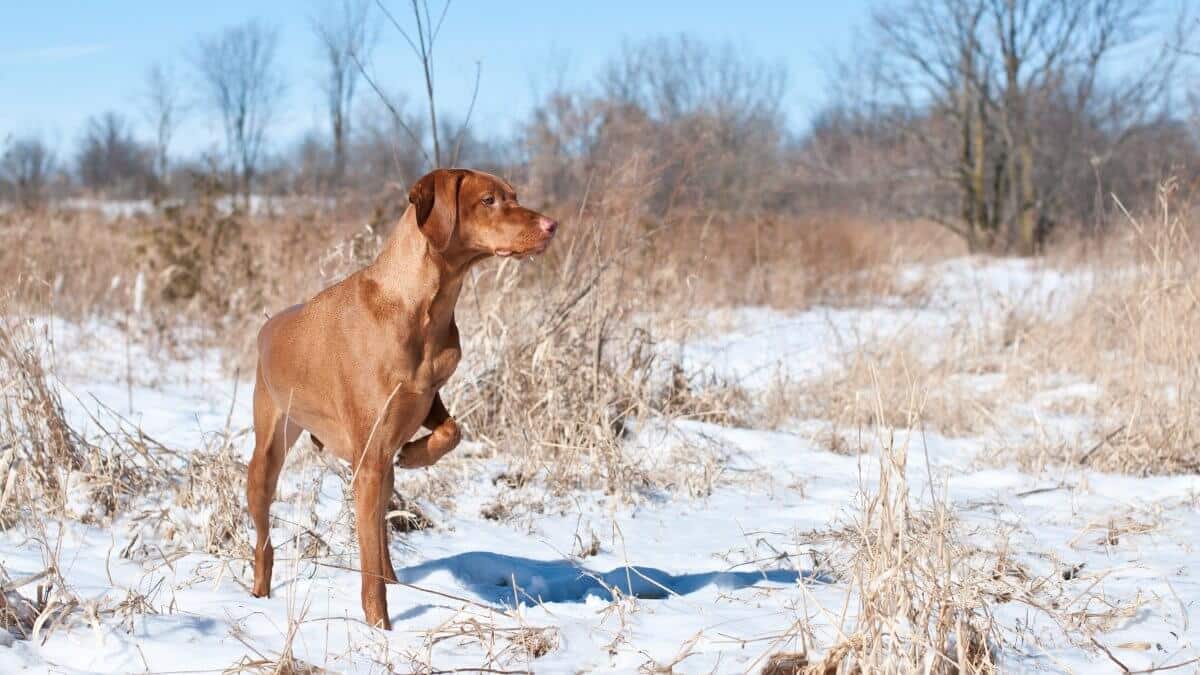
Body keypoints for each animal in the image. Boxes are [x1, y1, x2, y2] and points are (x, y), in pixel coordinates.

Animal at [247, 166, 561, 624]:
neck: (420, 307)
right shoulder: (368, 457)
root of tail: (268, 327)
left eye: (513, 196)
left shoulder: (424, 399)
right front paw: (380, 626)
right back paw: (259, 591)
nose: (551, 226)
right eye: (488, 200)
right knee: (265, 536)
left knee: (379, 532)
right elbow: (368, 570)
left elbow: (453, 431)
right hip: (268, 455)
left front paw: (416, 454)